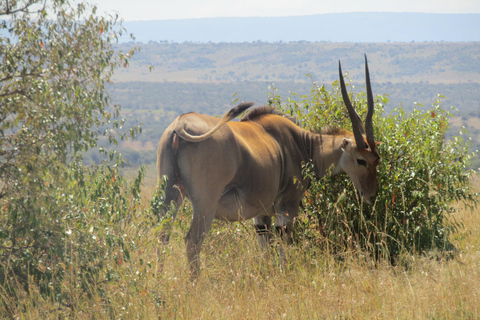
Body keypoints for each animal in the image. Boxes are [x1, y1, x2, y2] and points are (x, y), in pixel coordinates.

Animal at [157, 56, 378, 276]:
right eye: (361, 159)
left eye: (377, 159)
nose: (371, 196)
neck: (302, 143)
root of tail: (180, 125)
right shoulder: (286, 206)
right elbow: (281, 246)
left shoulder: (261, 215)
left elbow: (264, 249)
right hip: (205, 204)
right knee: (192, 241)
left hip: (171, 195)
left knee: (163, 236)